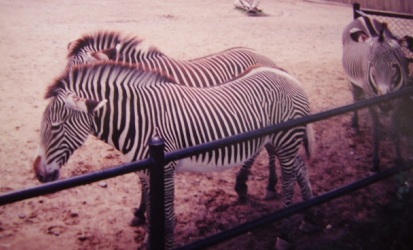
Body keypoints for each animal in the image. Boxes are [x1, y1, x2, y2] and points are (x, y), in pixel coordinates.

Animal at [33, 62, 316, 248]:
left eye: (56, 126)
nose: (39, 173)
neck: (139, 119)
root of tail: (289, 77)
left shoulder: (165, 169)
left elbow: (167, 218)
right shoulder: (147, 170)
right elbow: (151, 211)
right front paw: (148, 238)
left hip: (285, 140)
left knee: (289, 181)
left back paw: (285, 235)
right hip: (281, 143)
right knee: (301, 169)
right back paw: (310, 216)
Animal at [64, 30, 290, 225]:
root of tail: (265, 58)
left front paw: (142, 212)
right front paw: (141, 212)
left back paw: (256, 186)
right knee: (266, 146)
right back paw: (256, 185)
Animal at [342, 16, 408, 172]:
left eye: (394, 66)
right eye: (371, 65)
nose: (384, 100)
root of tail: (362, 17)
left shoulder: (398, 100)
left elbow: (395, 130)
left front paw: (399, 159)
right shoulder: (371, 100)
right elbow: (375, 132)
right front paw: (375, 163)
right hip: (352, 81)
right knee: (355, 100)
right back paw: (355, 124)